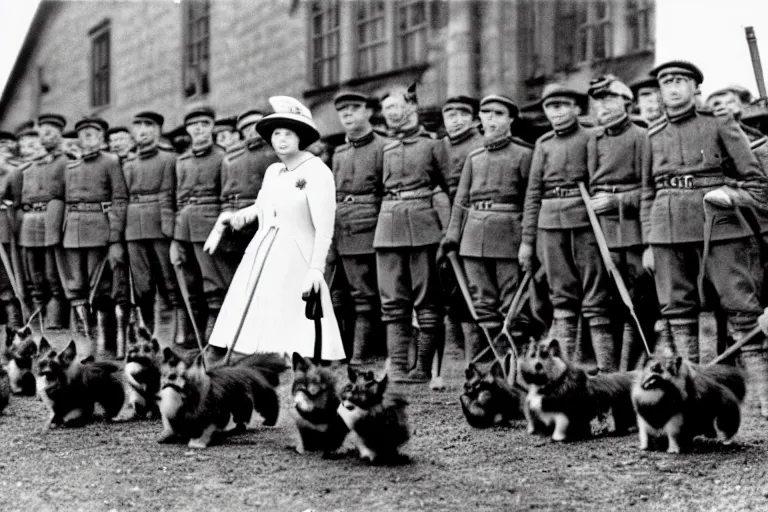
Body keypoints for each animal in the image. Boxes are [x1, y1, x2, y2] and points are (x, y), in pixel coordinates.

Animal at [158, 348, 286, 448]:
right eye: (168, 375)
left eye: (179, 376)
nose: (167, 383)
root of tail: (235, 370)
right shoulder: (170, 413)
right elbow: (171, 425)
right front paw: (166, 436)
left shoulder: (212, 413)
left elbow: (207, 428)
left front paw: (198, 442)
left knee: (243, 413)